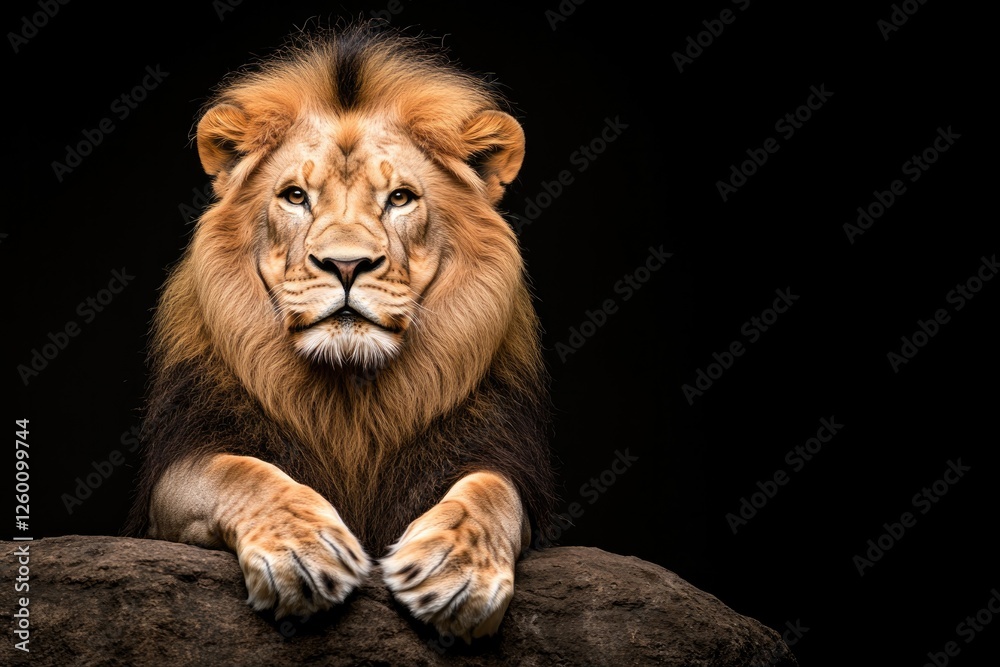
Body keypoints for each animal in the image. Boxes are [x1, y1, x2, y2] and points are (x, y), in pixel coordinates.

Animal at [124, 23, 557, 641]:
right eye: (295, 196)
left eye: (399, 197)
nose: (346, 265)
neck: (352, 393)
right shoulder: (179, 465)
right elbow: (242, 474)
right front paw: (304, 552)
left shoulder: (497, 451)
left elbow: (489, 493)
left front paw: (455, 570)